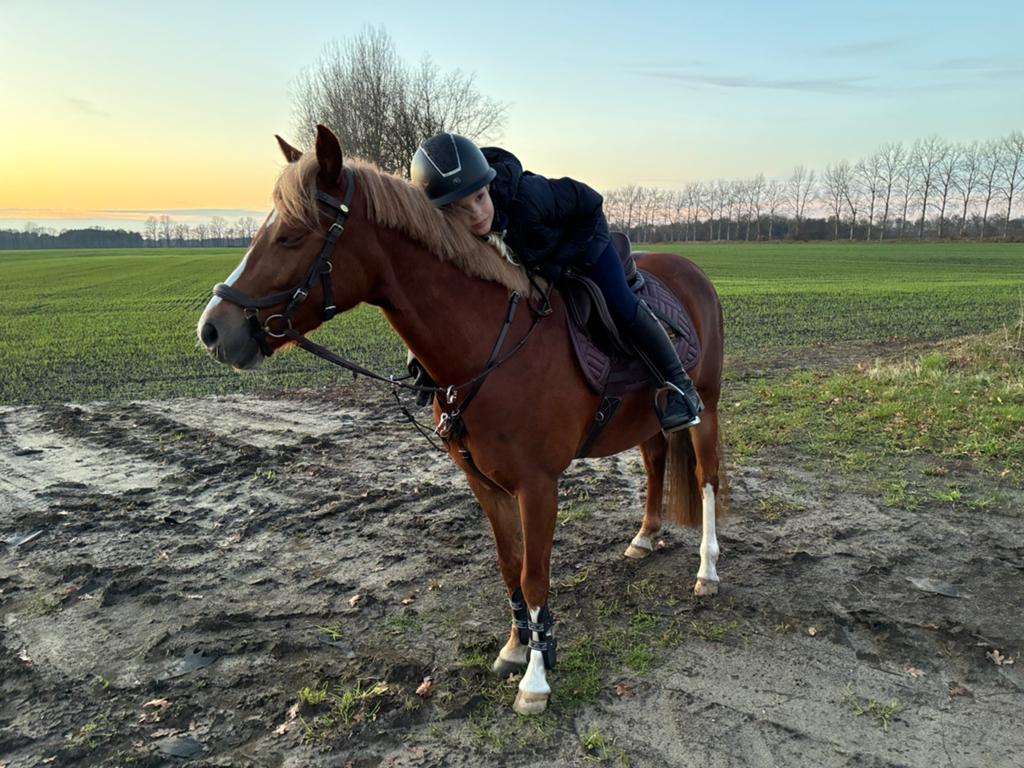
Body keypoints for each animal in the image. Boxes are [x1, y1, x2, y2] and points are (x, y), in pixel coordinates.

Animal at [197, 125, 726, 715]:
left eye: (291, 235)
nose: (213, 330)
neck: (488, 345)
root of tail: (689, 269)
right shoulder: (485, 484)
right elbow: (510, 566)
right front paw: (519, 646)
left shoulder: (539, 486)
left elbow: (535, 576)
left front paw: (535, 680)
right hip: (646, 421)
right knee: (657, 463)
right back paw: (646, 536)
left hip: (704, 405)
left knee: (706, 477)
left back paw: (707, 569)